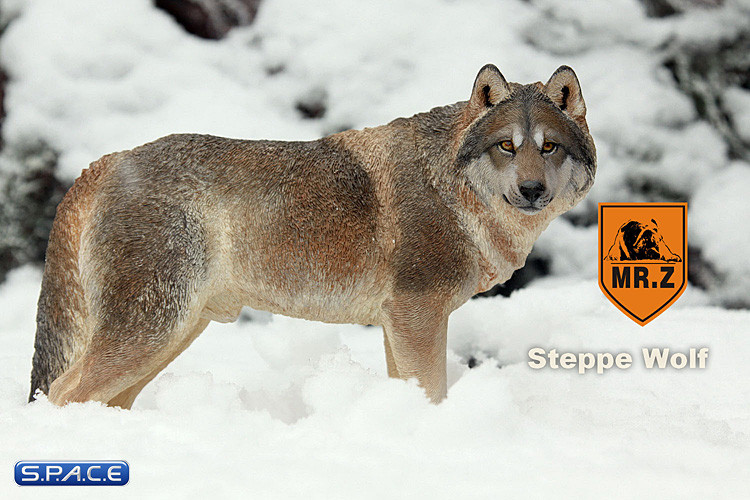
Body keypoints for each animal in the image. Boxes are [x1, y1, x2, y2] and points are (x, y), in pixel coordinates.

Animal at [29, 64, 596, 407]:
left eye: (548, 147)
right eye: (507, 145)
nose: (531, 190)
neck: (452, 190)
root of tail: (105, 161)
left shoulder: (397, 323)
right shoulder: (417, 314)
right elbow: (431, 390)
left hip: (175, 334)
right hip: (153, 331)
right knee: (59, 393)